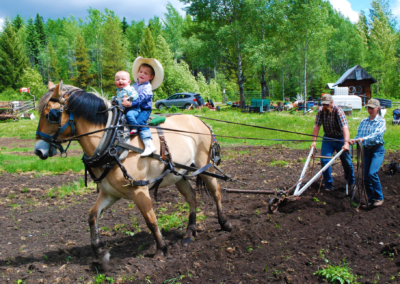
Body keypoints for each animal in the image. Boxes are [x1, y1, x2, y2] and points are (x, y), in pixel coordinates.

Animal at [33, 81, 233, 268]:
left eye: (51, 115)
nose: (38, 151)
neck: (113, 141)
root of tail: (200, 121)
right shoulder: (109, 193)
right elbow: (92, 216)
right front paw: (100, 253)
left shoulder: (139, 190)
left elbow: (150, 219)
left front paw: (161, 249)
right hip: (179, 174)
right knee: (192, 198)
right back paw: (189, 233)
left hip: (205, 167)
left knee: (216, 192)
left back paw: (225, 223)